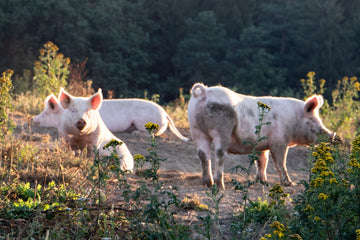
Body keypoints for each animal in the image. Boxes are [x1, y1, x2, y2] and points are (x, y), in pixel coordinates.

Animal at [187, 82, 336, 189]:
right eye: (313, 120)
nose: (332, 135)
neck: (294, 120)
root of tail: (205, 92)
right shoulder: (279, 142)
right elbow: (280, 162)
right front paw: (289, 184)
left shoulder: (261, 144)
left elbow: (262, 161)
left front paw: (263, 181)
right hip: (221, 129)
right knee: (219, 154)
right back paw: (220, 185)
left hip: (196, 129)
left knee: (203, 155)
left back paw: (208, 183)